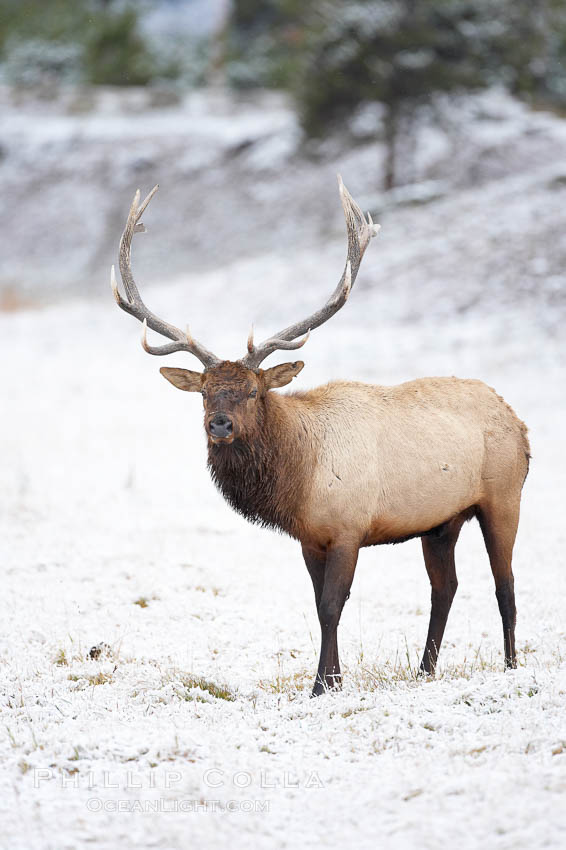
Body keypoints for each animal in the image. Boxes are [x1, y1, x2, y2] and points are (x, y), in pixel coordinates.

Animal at [112, 179, 532, 696]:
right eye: (206, 393)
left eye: (253, 391)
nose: (220, 425)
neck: (299, 475)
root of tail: (518, 422)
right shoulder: (309, 538)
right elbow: (317, 607)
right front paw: (331, 679)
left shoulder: (349, 527)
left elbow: (333, 605)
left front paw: (321, 685)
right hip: (441, 521)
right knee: (445, 587)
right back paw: (425, 669)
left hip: (503, 496)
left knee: (505, 583)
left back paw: (511, 665)